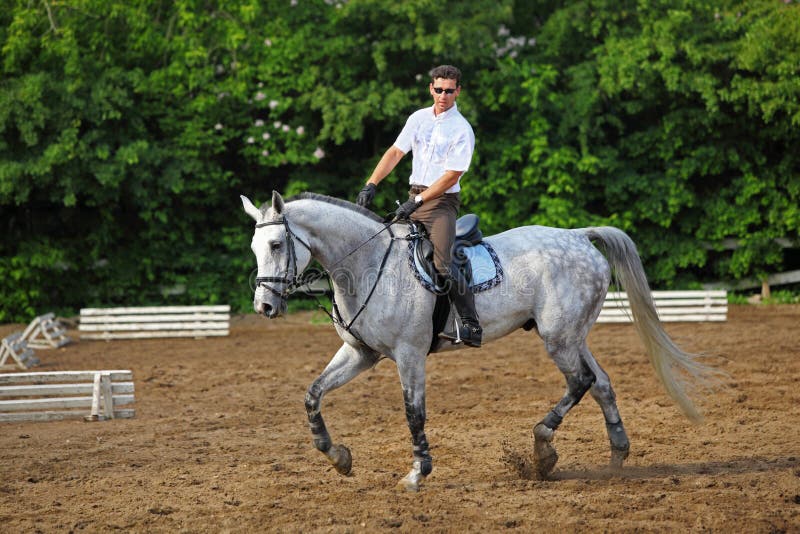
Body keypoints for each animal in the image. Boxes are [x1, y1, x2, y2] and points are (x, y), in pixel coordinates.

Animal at [241, 191, 717, 492]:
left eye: (277, 244)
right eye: (254, 248)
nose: (264, 306)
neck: (369, 263)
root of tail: (579, 235)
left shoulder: (409, 355)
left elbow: (414, 413)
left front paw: (417, 473)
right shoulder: (362, 353)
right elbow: (313, 394)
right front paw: (337, 456)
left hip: (558, 339)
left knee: (581, 382)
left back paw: (543, 449)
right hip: (571, 335)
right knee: (600, 383)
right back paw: (616, 456)